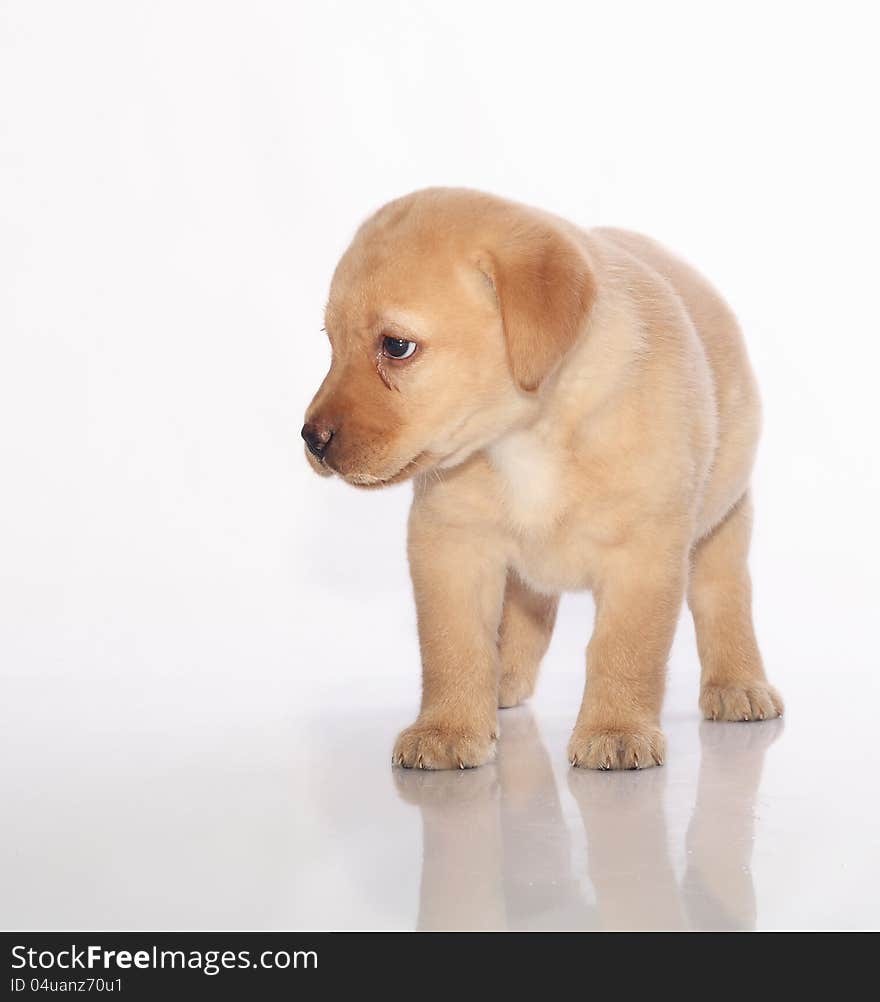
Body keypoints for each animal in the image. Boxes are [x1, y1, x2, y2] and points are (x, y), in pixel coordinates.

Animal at [302, 189, 785, 773]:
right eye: (332, 343)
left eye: (396, 346)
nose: (311, 439)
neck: (525, 438)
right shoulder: (450, 547)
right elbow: (453, 646)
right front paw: (448, 727)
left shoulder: (643, 557)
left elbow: (625, 649)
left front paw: (616, 728)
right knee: (527, 614)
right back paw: (503, 682)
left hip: (725, 522)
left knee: (724, 599)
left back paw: (738, 685)